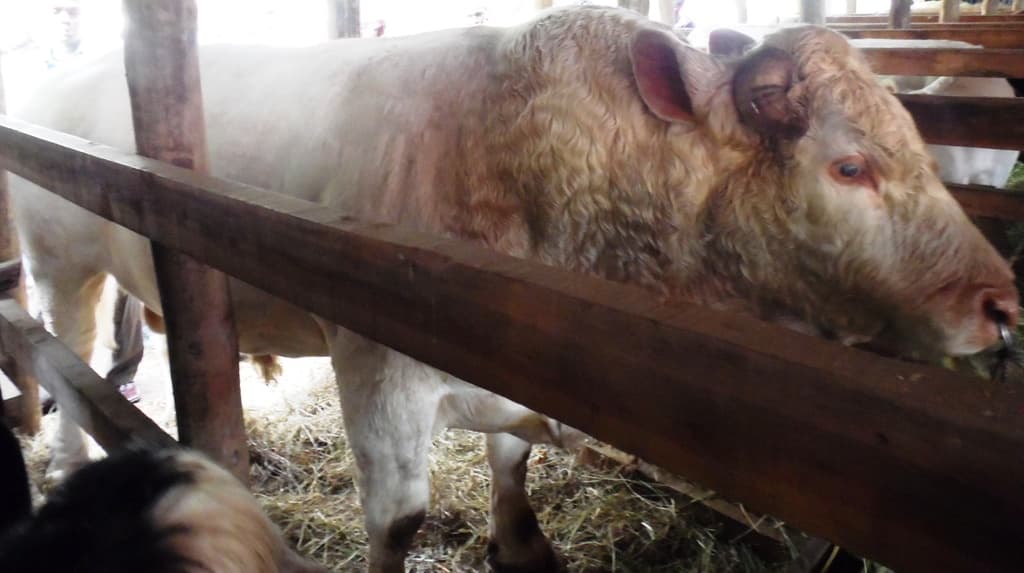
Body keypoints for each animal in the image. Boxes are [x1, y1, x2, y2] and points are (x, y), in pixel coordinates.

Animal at [7, 6, 1018, 572]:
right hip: (59, 263)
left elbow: (512, 462)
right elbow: (399, 520)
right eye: (849, 166)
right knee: (65, 361)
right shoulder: (377, 369)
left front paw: (522, 541)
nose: (1000, 302)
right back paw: (63, 456)